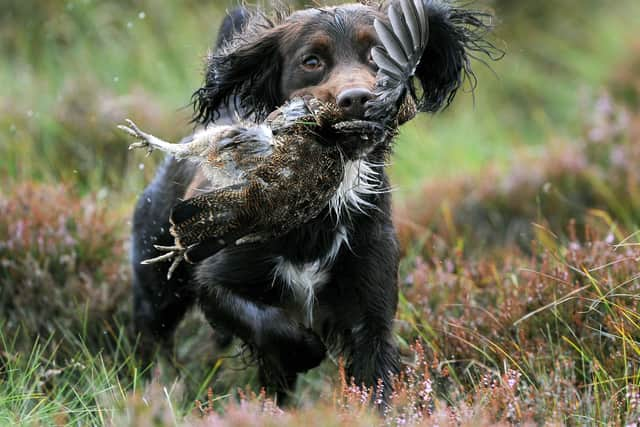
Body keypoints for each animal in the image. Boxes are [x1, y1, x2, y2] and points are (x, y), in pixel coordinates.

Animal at [132, 0, 498, 404]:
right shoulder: (215, 280)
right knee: (152, 338)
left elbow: (373, 383)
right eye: (312, 61)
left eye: (377, 53)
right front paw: (305, 350)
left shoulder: (371, 310)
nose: (358, 99)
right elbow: (270, 325)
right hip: (158, 286)